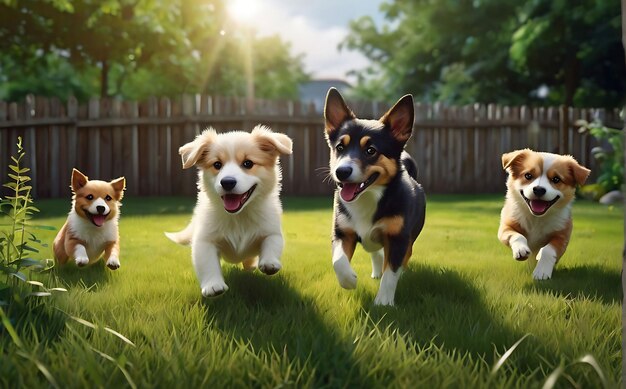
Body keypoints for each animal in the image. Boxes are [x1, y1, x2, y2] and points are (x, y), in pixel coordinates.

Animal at [166, 126, 292, 296]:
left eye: (248, 163)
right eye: (217, 164)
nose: (227, 182)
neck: (239, 216)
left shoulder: (271, 228)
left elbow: (272, 242)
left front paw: (269, 263)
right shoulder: (204, 240)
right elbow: (207, 262)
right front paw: (213, 285)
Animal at [324, 88, 426, 306]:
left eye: (371, 150)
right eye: (340, 148)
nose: (341, 172)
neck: (368, 198)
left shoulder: (398, 239)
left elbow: (391, 272)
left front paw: (384, 302)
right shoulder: (342, 232)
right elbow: (338, 260)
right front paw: (349, 280)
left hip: (410, 237)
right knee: (375, 252)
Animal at [494, 149, 588, 278]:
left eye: (556, 179)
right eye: (528, 175)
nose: (539, 189)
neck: (536, 218)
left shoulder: (562, 236)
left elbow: (548, 250)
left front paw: (542, 271)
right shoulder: (506, 226)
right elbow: (517, 235)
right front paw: (521, 250)